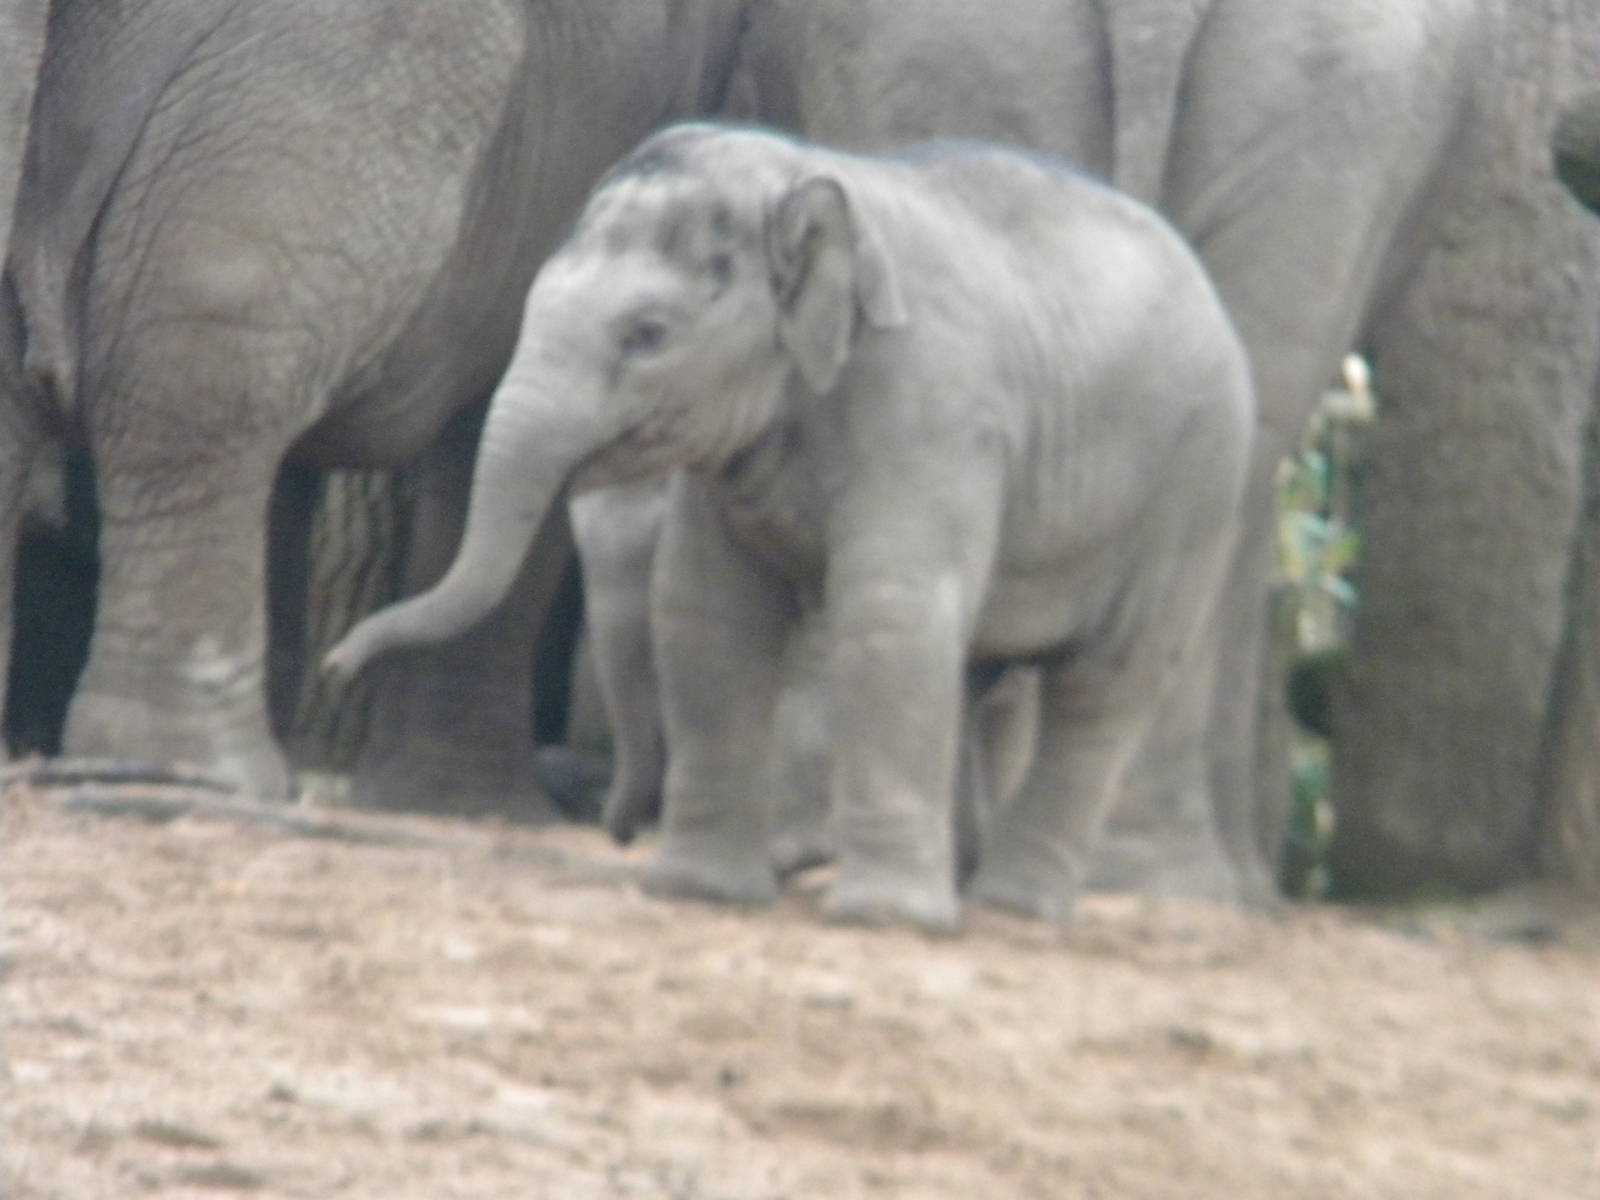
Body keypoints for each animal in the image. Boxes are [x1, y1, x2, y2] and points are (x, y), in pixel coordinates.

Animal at [325, 122, 1256, 931]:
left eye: (648, 334)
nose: (336, 663)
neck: (807, 173)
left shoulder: (933, 406)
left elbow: (889, 612)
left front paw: (882, 921)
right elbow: (704, 614)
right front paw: (699, 891)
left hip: (1194, 491)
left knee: (1104, 682)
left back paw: (1009, 907)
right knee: (970, 670)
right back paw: (959, 884)